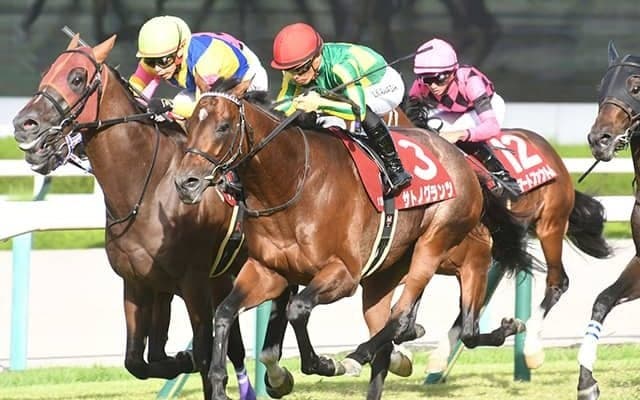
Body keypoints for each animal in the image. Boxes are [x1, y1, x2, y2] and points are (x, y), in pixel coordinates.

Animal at [11, 34, 265, 400]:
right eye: (47, 72)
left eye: (77, 78)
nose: (23, 124)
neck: (148, 186)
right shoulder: (141, 283)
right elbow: (140, 360)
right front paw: (180, 359)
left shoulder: (193, 282)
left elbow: (204, 353)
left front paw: (194, 364)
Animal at [172, 76, 532, 400]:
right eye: (188, 125)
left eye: (223, 127)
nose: (185, 182)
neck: (292, 182)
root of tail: (461, 160)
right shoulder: (268, 272)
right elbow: (223, 313)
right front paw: (219, 383)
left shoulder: (343, 273)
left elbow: (297, 310)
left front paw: (324, 363)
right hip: (387, 274)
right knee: (416, 327)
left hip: (436, 241)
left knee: (404, 316)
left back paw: (357, 356)